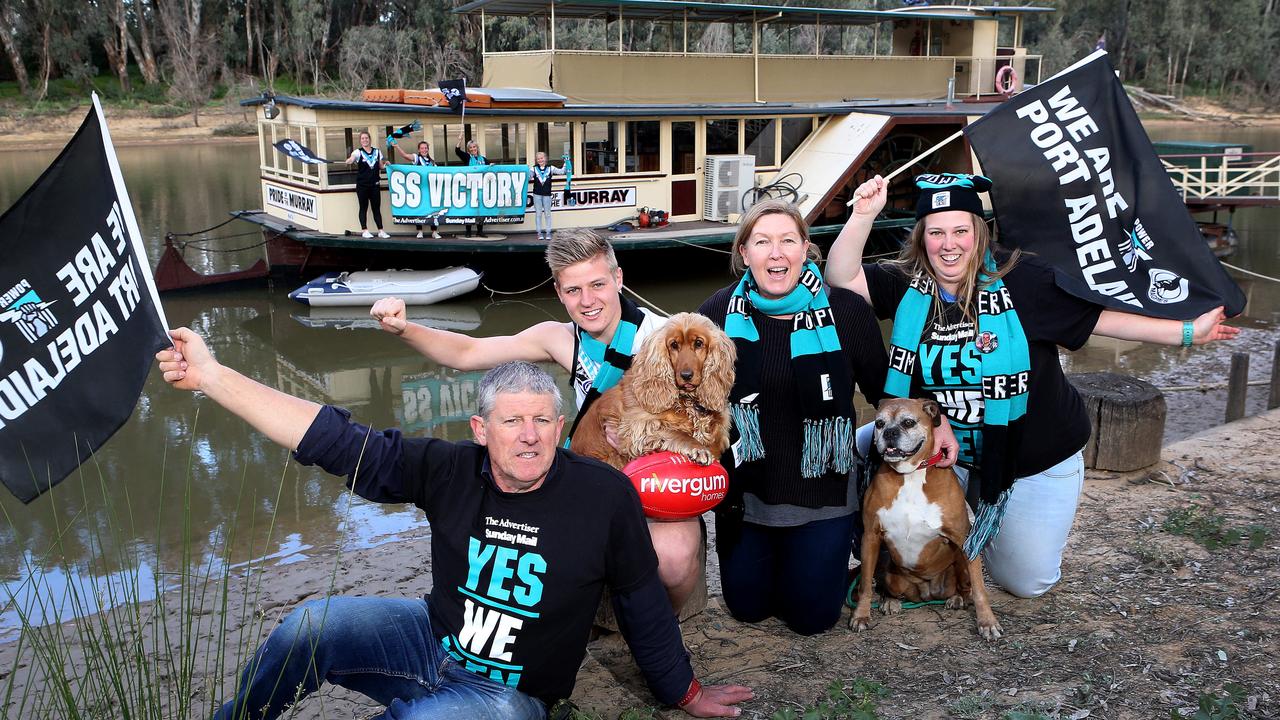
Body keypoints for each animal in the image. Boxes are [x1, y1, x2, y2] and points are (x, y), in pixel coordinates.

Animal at [855, 397, 1003, 638]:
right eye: (879, 423)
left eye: (908, 422)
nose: (890, 432)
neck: (910, 474)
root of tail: (926, 593)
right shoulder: (871, 537)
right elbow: (865, 584)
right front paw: (860, 615)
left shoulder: (964, 539)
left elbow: (980, 588)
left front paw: (987, 622)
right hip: (890, 572)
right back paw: (891, 601)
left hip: (960, 562)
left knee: (966, 587)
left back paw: (957, 598)